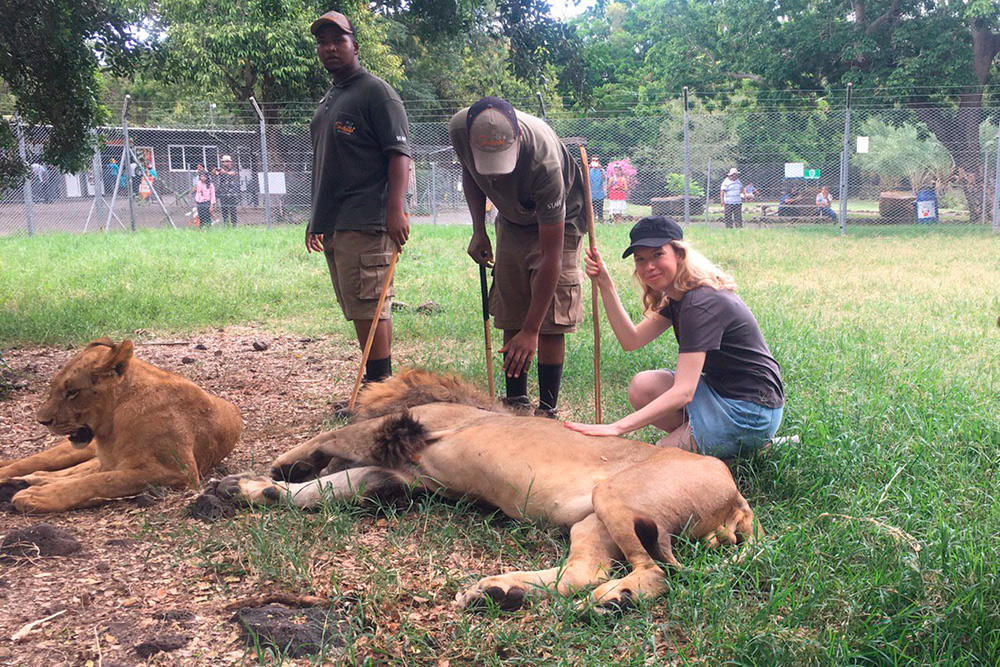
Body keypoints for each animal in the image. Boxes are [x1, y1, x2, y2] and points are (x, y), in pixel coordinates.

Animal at [0, 336, 242, 516]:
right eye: (53, 388)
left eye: (73, 392)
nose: (41, 421)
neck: (113, 424)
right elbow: (94, 478)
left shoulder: (179, 471)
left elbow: (99, 481)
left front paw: (38, 496)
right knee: (32, 464)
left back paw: (24, 484)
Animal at [211, 368, 756, 612]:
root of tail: (739, 501)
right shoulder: (400, 475)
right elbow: (326, 488)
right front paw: (254, 491)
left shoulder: (400, 430)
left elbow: (329, 439)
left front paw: (277, 467)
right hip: (593, 519)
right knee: (584, 571)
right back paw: (499, 590)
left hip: (619, 500)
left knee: (657, 572)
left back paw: (615, 599)